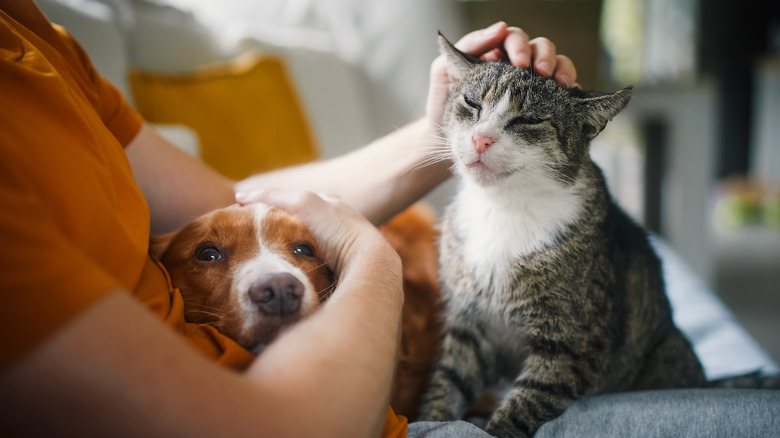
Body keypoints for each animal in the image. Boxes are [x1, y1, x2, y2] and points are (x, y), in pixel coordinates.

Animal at [418, 35, 708, 438]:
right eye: (471, 104)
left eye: (529, 119)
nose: (480, 140)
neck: (504, 208)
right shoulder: (467, 326)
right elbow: (446, 385)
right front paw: (430, 419)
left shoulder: (572, 343)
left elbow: (524, 403)